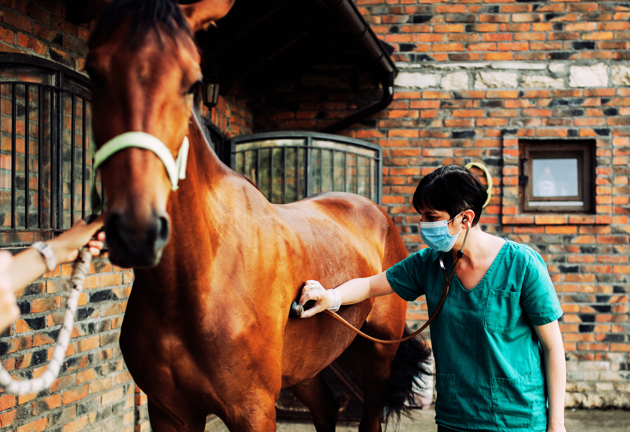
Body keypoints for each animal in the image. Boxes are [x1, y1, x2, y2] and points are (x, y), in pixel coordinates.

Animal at [85, 1, 430, 430]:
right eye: (93, 72)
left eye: (192, 82)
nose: (136, 229)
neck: (195, 281)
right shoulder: (168, 412)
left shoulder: (253, 409)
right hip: (306, 366)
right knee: (326, 408)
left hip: (379, 351)